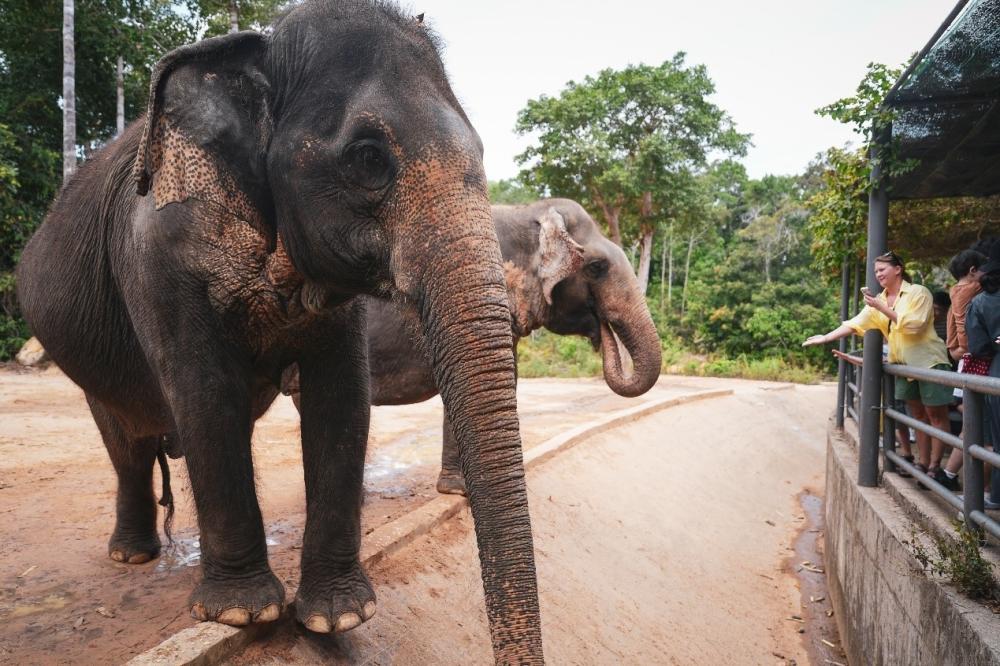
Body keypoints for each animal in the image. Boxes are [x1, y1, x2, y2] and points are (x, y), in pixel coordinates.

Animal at [11, 2, 544, 660]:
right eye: (368, 158)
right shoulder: (158, 253)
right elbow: (206, 391)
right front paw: (244, 614)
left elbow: (342, 396)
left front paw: (336, 618)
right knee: (127, 442)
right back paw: (132, 556)